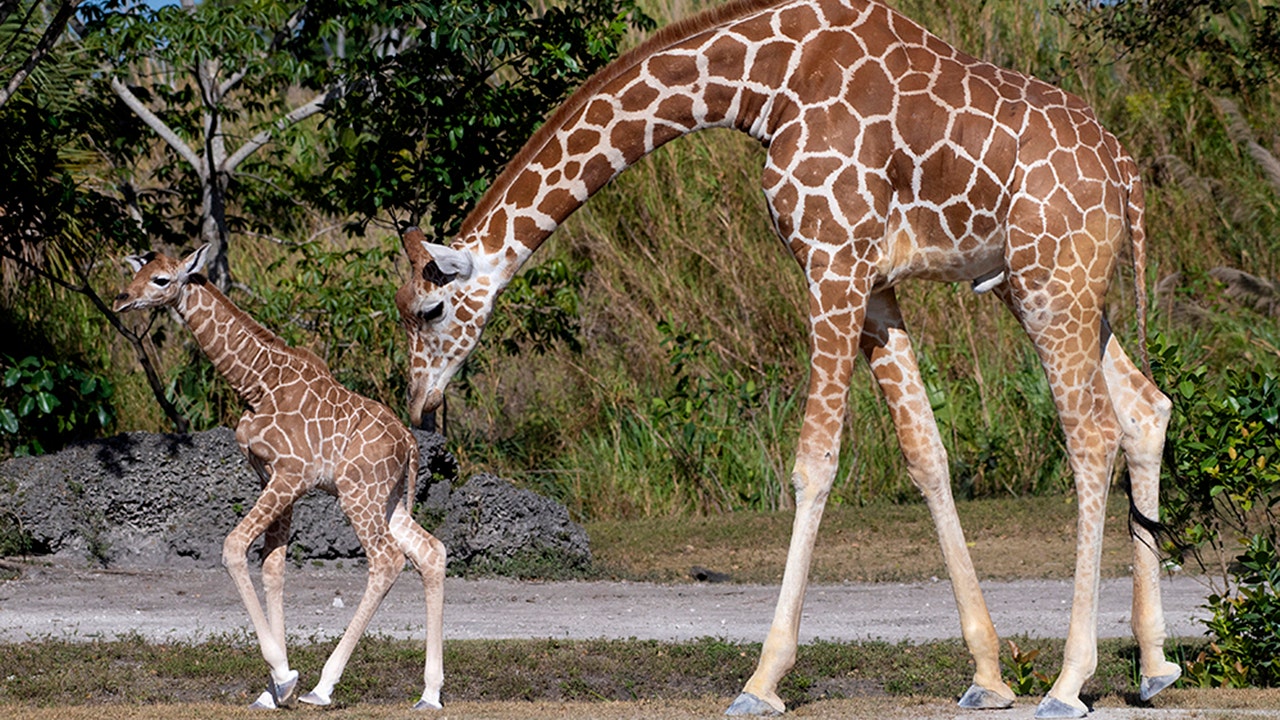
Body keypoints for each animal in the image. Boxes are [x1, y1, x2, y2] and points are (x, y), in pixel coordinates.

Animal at [111, 244, 450, 707]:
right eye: (138, 271)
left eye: (161, 279)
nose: (121, 299)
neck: (256, 384)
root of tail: (412, 445)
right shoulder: (272, 477)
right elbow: (273, 567)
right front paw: (272, 689)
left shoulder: (290, 475)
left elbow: (234, 547)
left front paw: (284, 677)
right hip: (390, 499)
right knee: (430, 552)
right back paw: (429, 693)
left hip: (358, 493)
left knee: (387, 559)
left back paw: (323, 687)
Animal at [396, 0, 1177, 712]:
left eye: (428, 311)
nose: (420, 408)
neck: (764, 83)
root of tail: (1128, 171)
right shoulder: (874, 281)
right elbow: (925, 452)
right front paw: (987, 675)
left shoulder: (832, 259)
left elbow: (814, 460)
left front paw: (762, 681)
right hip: (1052, 287)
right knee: (1145, 408)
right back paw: (1154, 666)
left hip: (1053, 280)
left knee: (1092, 434)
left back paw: (1070, 682)